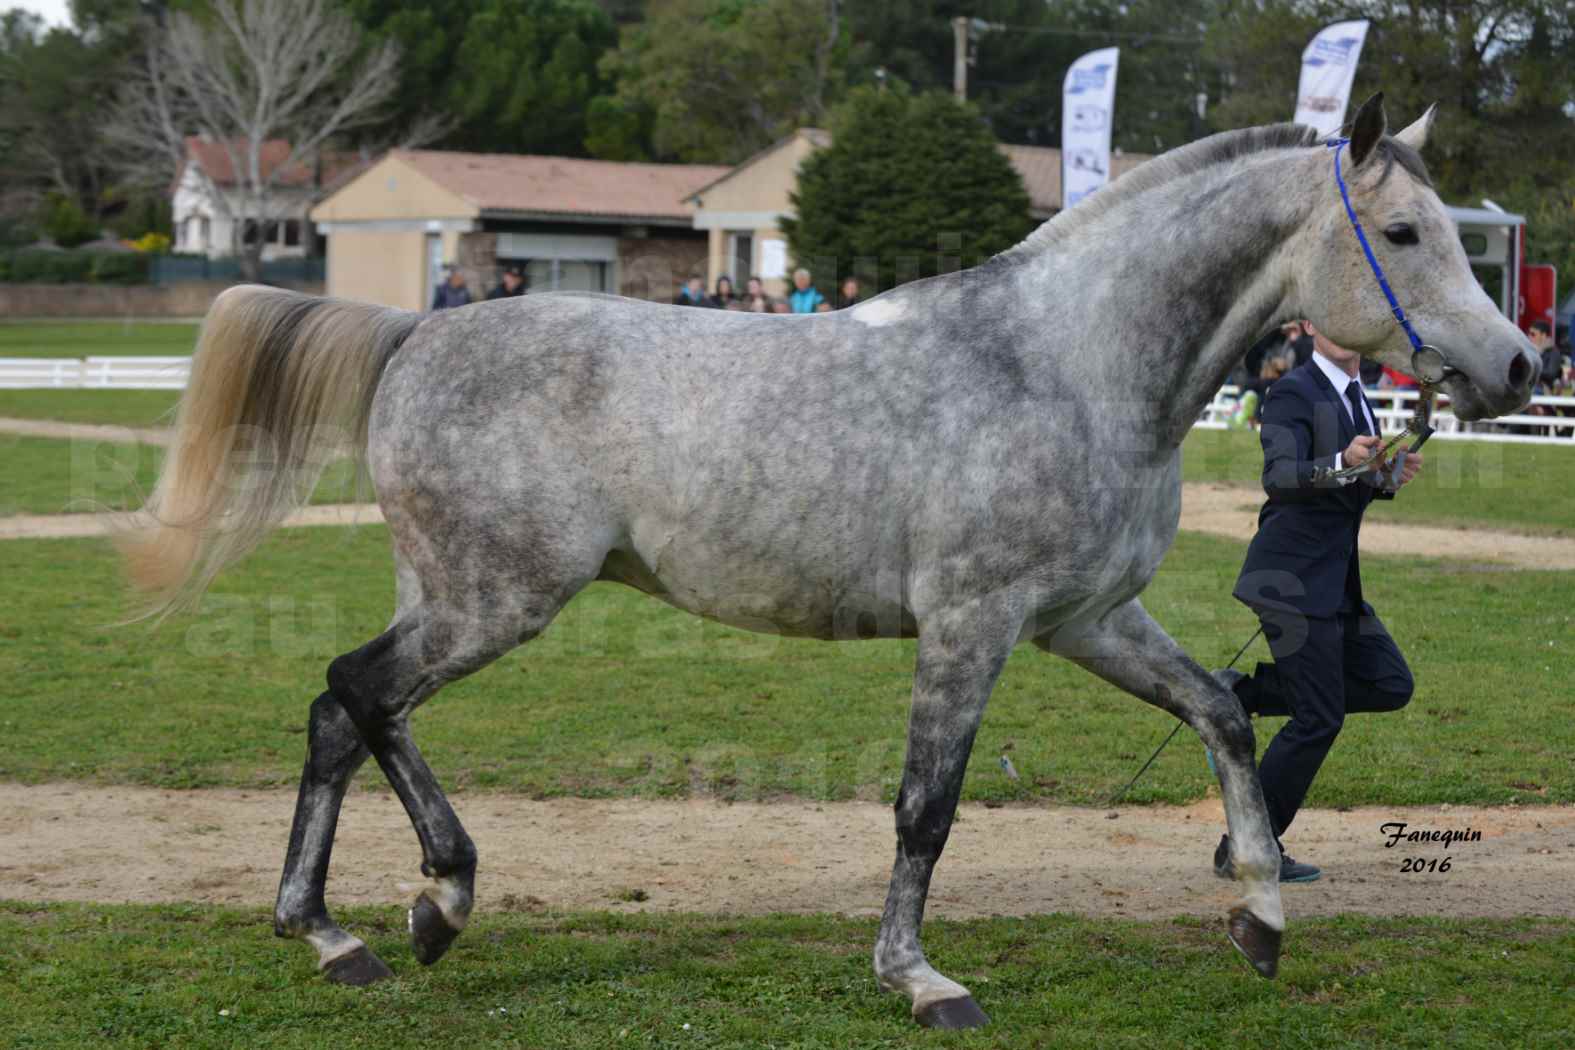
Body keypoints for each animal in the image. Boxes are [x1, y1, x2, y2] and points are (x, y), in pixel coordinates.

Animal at [126, 98, 1537, 1032]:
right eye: (1404, 232)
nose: (1521, 365)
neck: (1068, 365)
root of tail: (418, 330)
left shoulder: (1089, 619)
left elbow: (1224, 720)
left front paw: (1258, 918)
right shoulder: (972, 625)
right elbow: (928, 807)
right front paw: (920, 979)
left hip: (457, 597)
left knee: (345, 713)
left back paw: (360, 925)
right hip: (494, 600)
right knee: (357, 694)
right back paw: (412, 910)